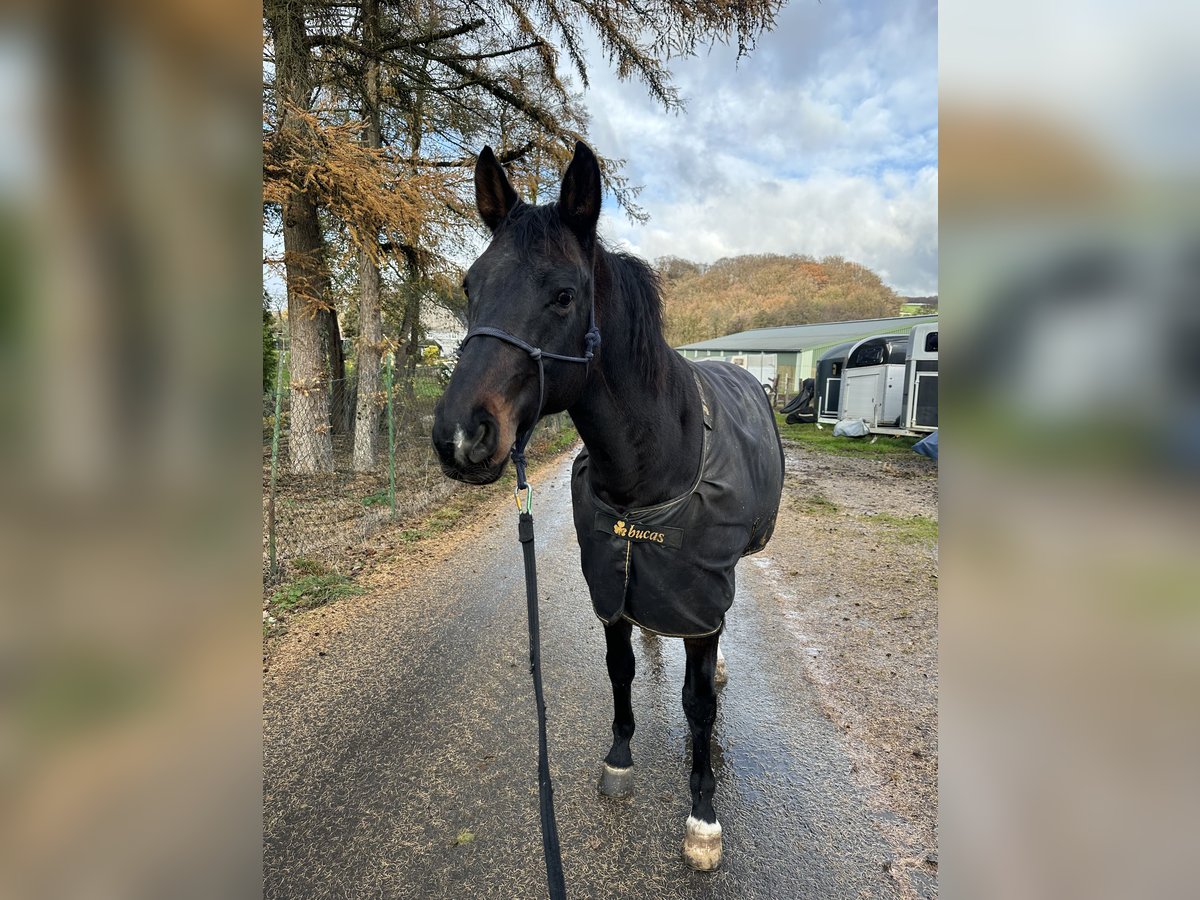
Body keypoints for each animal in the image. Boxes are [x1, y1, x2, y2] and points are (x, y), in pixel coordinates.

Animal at [432, 141, 784, 872]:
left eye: (564, 295)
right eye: (471, 286)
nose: (459, 437)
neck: (650, 472)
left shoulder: (701, 597)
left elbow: (698, 704)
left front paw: (702, 816)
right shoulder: (610, 582)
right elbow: (620, 669)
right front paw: (620, 757)